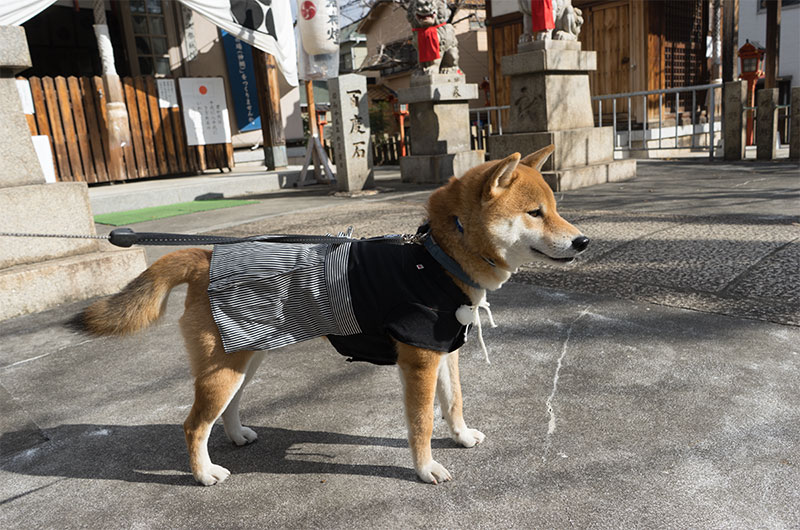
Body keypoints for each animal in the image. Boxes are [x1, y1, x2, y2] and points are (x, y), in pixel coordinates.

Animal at [72, 144, 588, 482]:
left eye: (555, 208)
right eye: (535, 213)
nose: (583, 241)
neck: (436, 258)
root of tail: (204, 256)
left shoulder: (445, 350)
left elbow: (454, 402)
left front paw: (460, 437)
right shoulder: (419, 360)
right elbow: (421, 423)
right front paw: (426, 468)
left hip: (245, 360)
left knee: (226, 409)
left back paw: (236, 437)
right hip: (226, 366)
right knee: (193, 424)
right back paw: (204, 474)